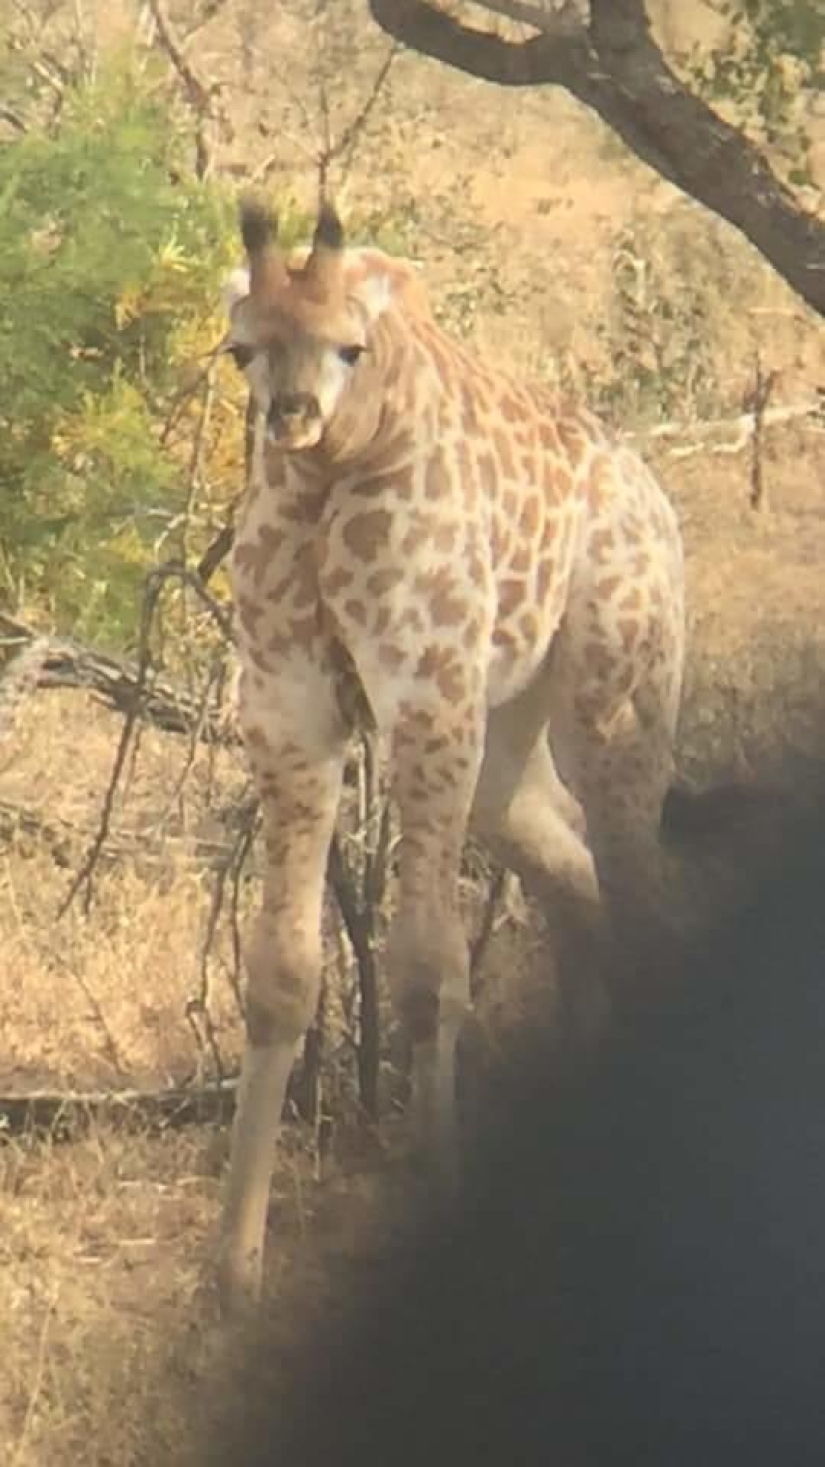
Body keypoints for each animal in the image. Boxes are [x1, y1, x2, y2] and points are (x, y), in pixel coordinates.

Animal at [215, 198, 684, 1320]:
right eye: (241, 348)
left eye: (350, 345)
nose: (290, 419)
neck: (332, 476)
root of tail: (657, 500)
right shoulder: (289, 713)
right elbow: (280, 973)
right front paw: (234, 1266)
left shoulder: (428, 701)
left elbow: (430, 968)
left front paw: (435, 1194)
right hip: (507, 746)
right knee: (579, 870)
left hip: (612, 700)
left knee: (642, 889)